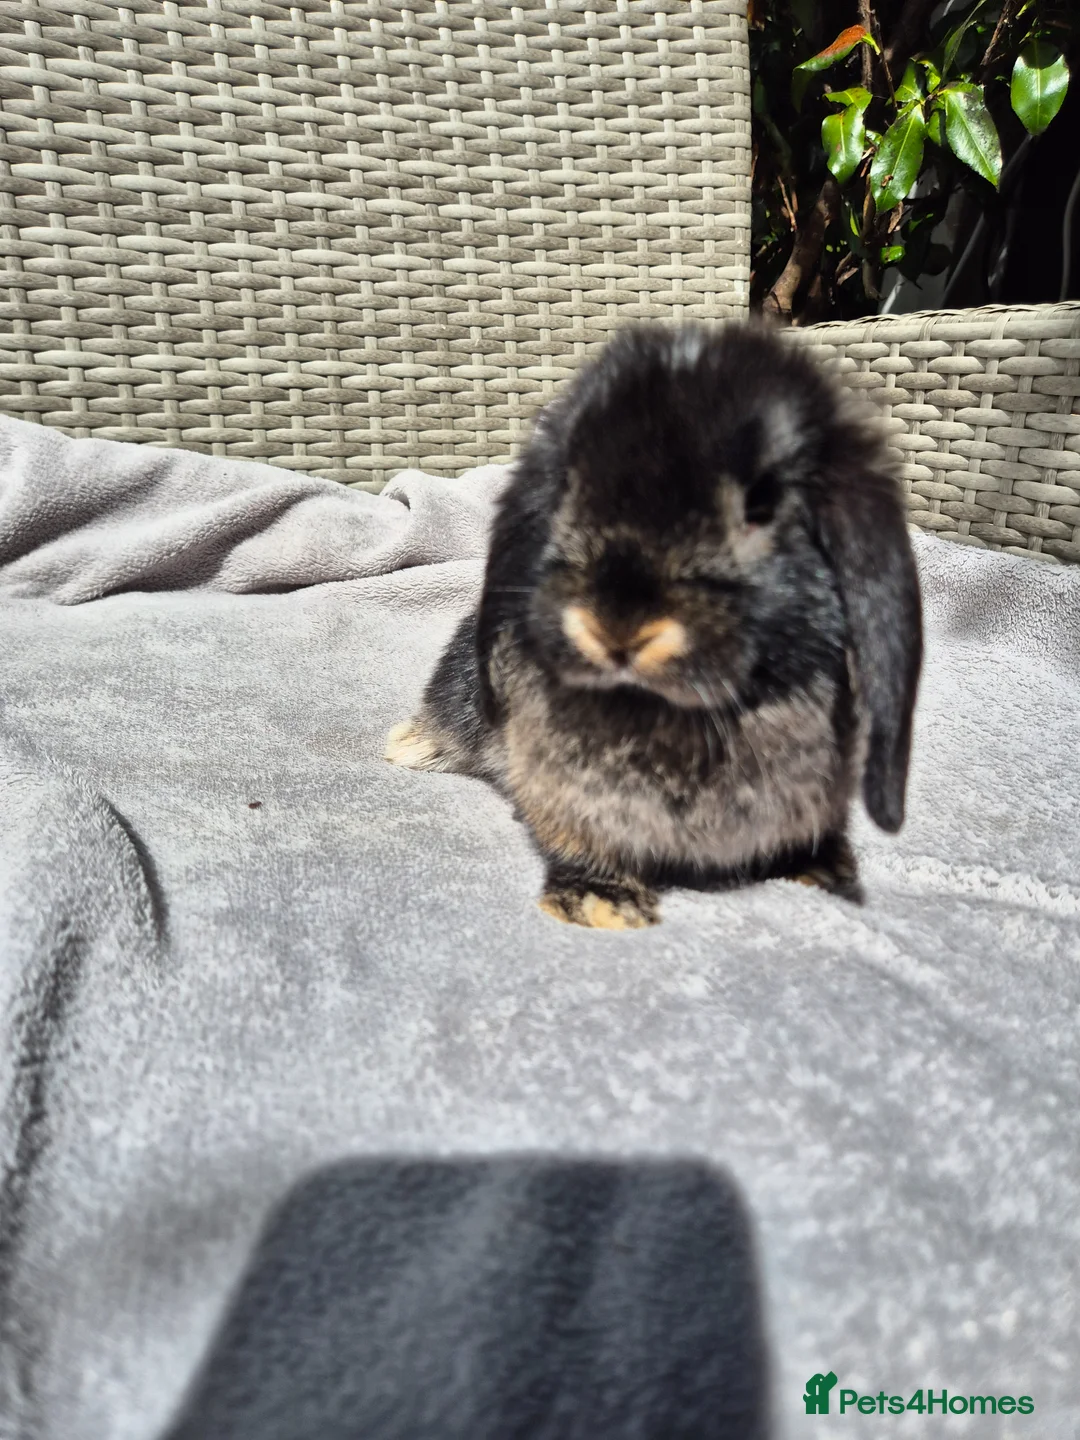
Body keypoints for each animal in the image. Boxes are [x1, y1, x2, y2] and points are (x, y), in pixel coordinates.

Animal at [386, 321, 922, 929]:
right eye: (568, 492)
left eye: (761, 507)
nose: (617, 626)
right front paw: (601, 905)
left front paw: (824, 868)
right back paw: (408, 747)